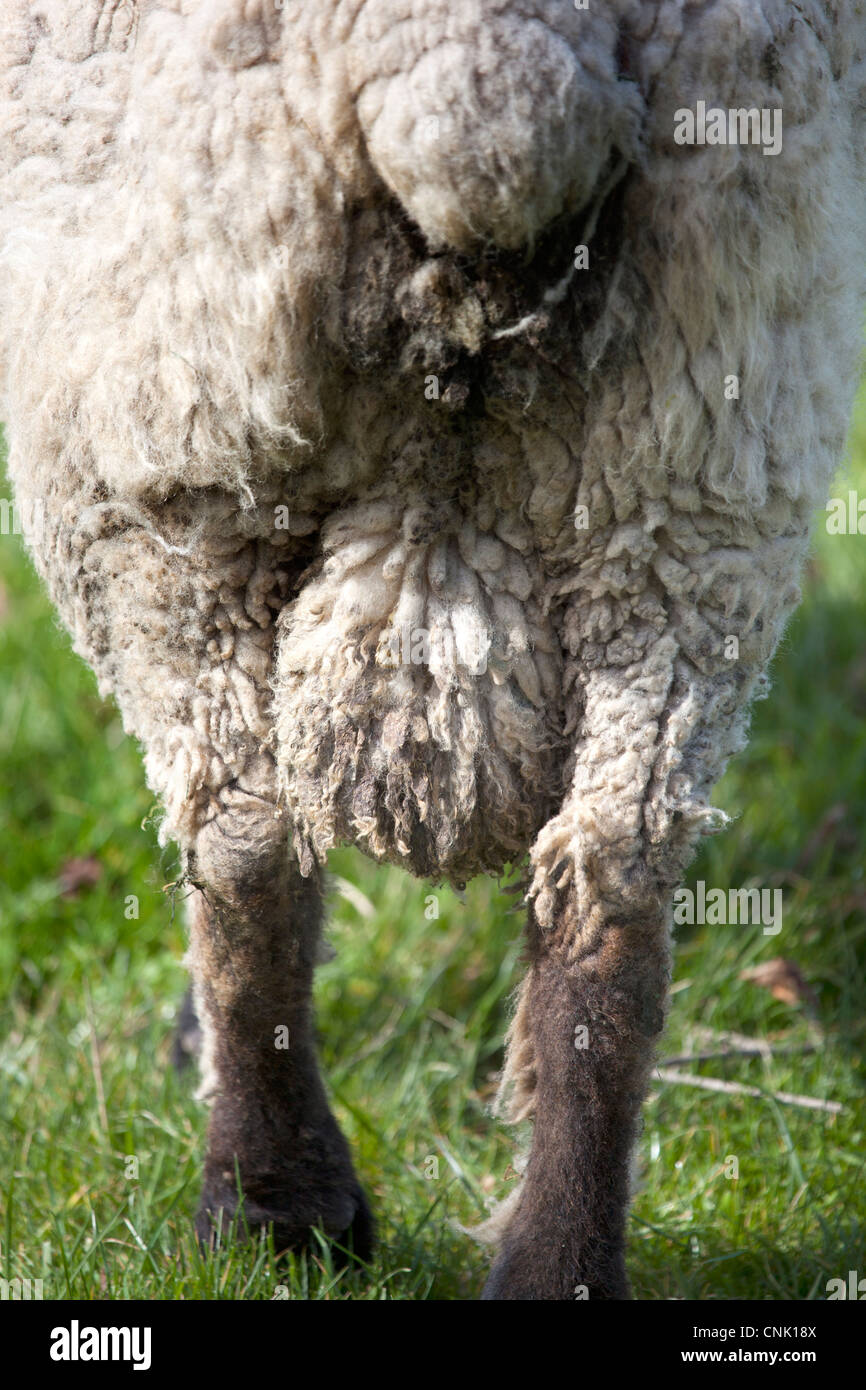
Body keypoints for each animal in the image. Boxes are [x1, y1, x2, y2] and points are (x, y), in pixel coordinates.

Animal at [0, 0, 861, 1301]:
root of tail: (483, 68)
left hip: (162, 431)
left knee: (244, 845)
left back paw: (270, 1208)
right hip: (695, 460)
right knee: (610, 887)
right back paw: (553, 1263)